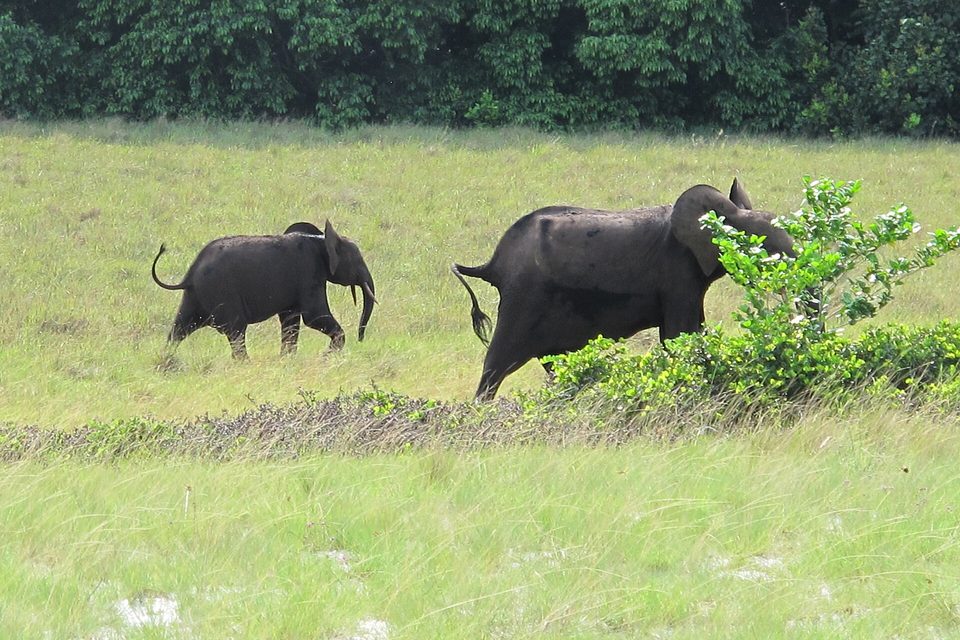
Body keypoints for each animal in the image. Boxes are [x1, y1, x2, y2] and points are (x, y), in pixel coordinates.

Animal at [152, 220, 376, 358]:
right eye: (357, 260)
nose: (361, 340)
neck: (321, 239)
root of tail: (189, 275)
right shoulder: (309, 274)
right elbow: (313, 316)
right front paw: (327, 356)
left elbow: (290, 320)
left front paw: (287, 359)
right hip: (221, 292)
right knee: (236, 331)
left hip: (196, 295)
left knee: (180, 328)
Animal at [451, 179, 795, 399]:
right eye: (762, 244)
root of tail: (492, 263)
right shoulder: (678, 270)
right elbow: (678, 335)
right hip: (524, 296)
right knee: (498, 363)